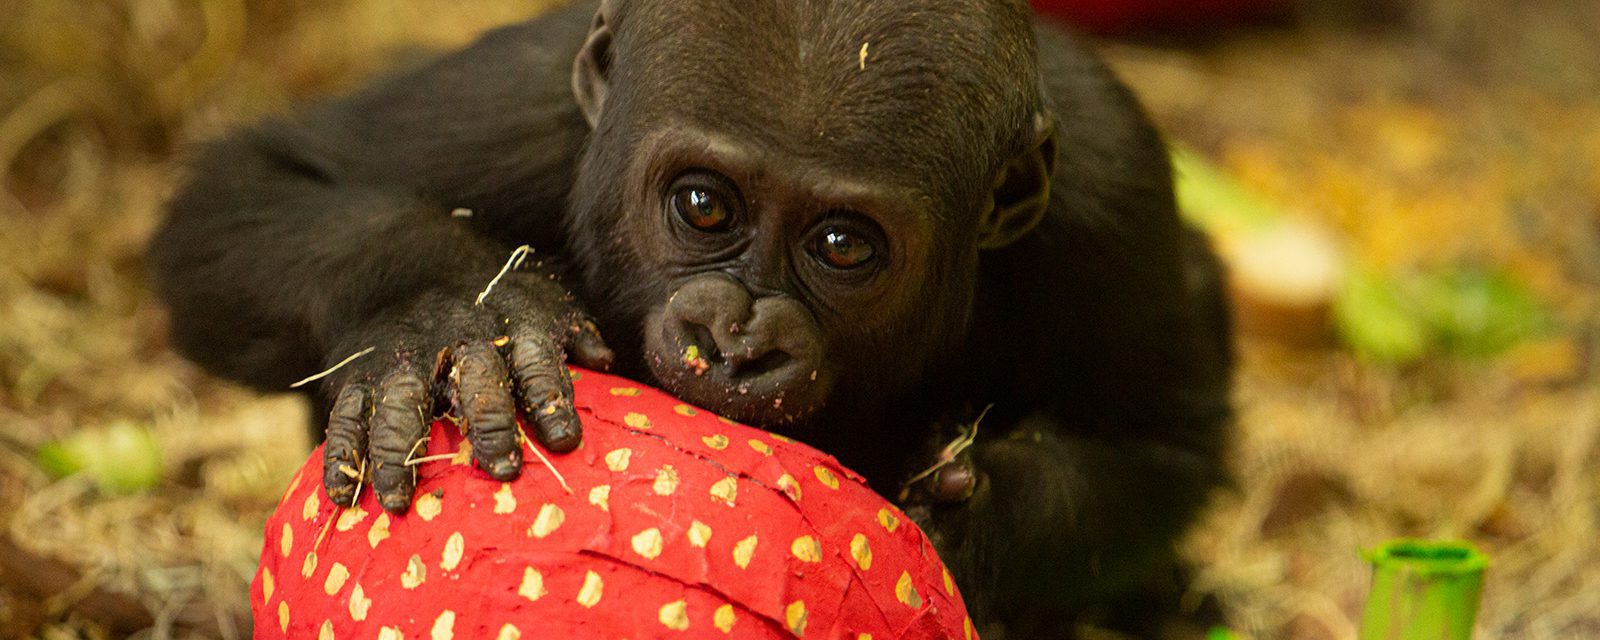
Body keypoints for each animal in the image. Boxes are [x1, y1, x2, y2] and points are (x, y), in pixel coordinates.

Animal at [152, 0, 1235, 633]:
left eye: (844, 246)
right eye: (703, 206)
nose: (736, 340)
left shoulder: (1109, 190)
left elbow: (1161, 443)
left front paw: (976, 511)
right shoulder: (528, 98)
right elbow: (254, 193)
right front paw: (454, 316)